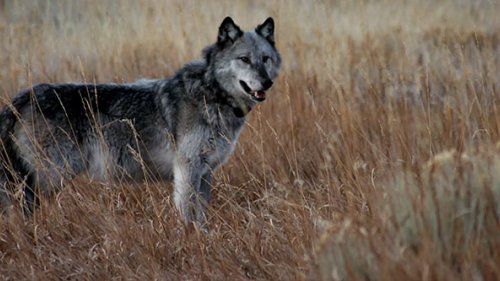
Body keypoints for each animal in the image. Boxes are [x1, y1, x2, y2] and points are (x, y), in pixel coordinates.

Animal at [0, 16, 282, 226]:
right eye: (244, 59)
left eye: (265, 59)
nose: (267, 83)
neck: (211, 93)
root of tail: (20, 97)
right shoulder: (187, 170)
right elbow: (189, 216)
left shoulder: (205, 173)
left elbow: (202, 215)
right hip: (47, 179)